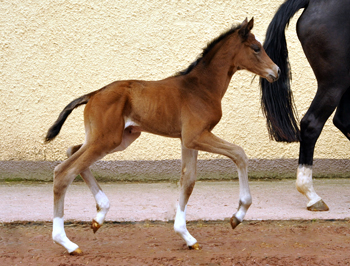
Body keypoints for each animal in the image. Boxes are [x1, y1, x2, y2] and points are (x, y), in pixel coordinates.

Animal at [45, 17, 278, 255]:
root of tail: (92, 94)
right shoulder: (196, 135)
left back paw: (99, 215)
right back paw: (67, 242)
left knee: (73, 151)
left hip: (119, 138)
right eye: (256, 48)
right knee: (63, 172)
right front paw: (237, 215)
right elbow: (239, 154)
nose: (276, 71)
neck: (201, 88)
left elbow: (188, 180)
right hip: (106, 140)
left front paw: (186, 235)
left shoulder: (188, 140)